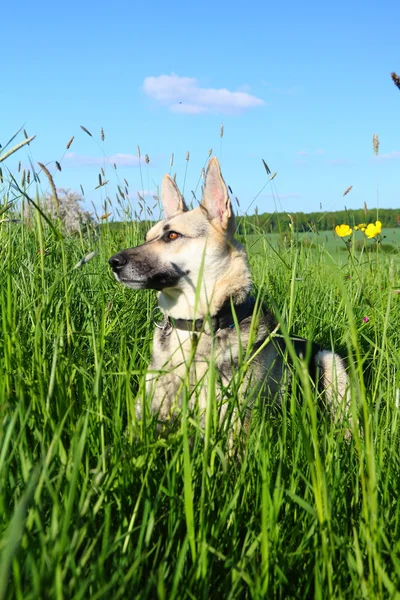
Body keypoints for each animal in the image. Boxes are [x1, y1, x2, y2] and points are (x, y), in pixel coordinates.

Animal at [109, 155, 350, 436]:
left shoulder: (230, 423)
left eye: (172, 235)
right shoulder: (145, 413)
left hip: (330, 362)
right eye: (147, 237)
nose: (112, 262)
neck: (193, 325)